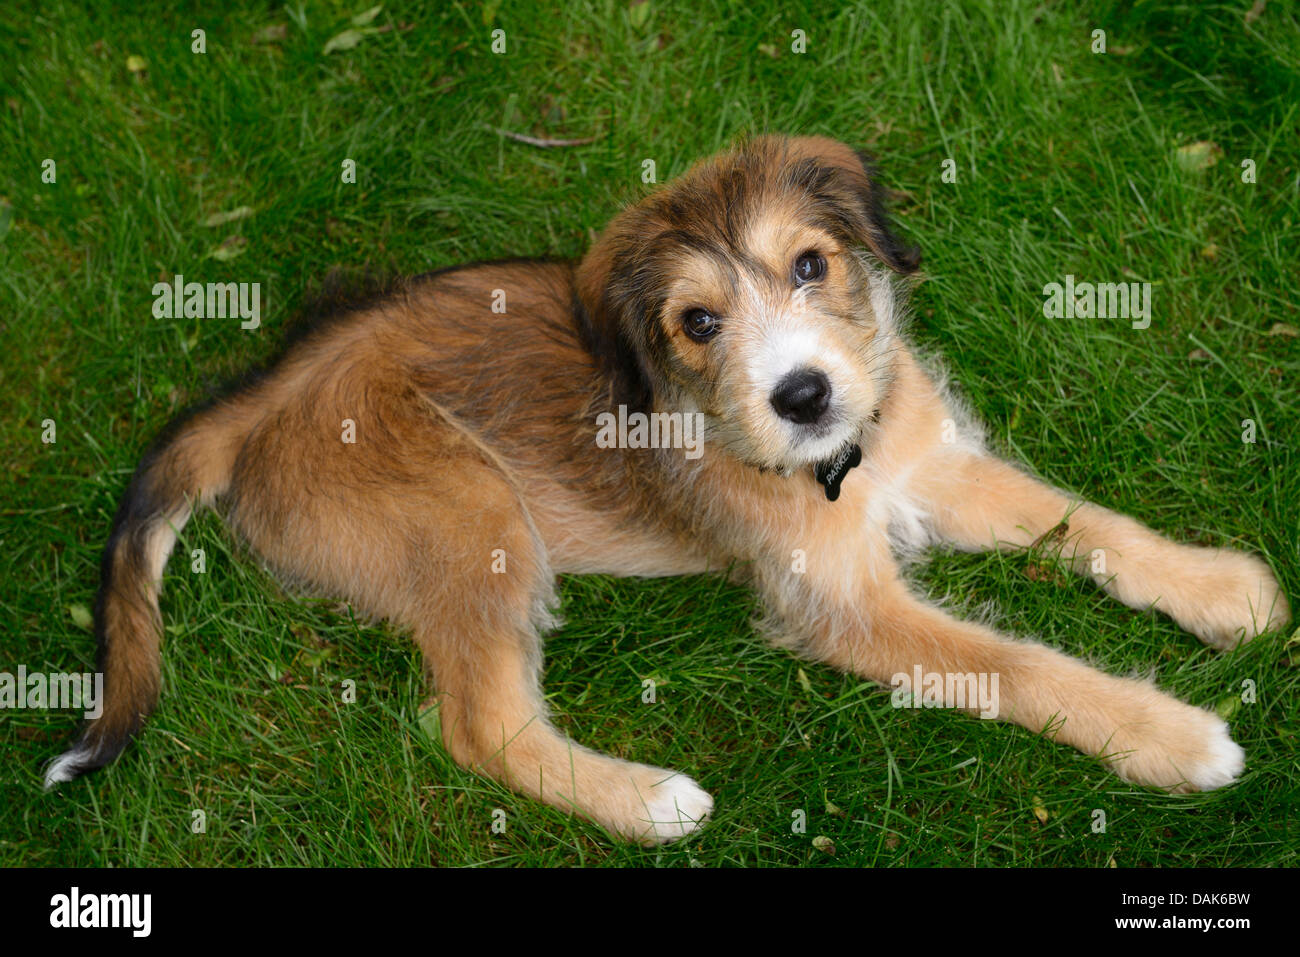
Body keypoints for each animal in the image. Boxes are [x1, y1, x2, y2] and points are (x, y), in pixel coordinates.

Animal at [48, 136, 1289, 842]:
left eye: (811, 265)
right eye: (697, 322)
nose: (804, 394)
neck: (841, 466)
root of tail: (261, 393)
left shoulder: (931, 466)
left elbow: (1085, 520)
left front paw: (1217, 587)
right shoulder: (847, 606)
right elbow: (1020, 665)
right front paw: (1172, 738)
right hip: (471, 512)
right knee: (480, 730)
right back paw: (647, 804)